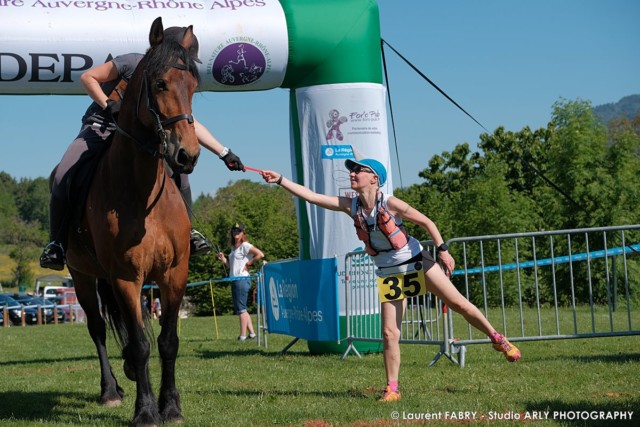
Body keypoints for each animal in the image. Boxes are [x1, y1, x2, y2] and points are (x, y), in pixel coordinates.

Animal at [66, 17, 199, 427]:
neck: (141, 194)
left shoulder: (174, 273)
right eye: (159, 84)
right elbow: (140, 344)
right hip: (82, 275)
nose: (187, 155)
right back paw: (110, 390)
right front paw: (145, 411)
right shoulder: (125, 276)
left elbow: (167, 341)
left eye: (194, 85)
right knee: (97, 328)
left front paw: (170, 406)